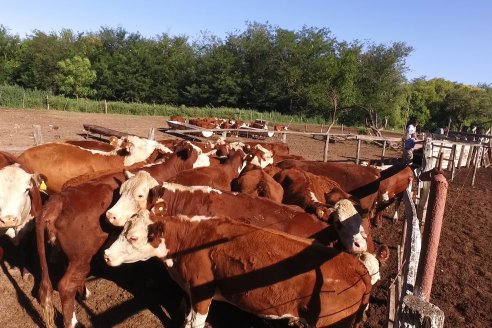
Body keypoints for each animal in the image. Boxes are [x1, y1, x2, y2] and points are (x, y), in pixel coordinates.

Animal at [104, 210, 372, 328]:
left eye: (134, 238)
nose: (106, 255)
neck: (192, 238)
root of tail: (356, 267)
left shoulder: (202, 293)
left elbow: (196, 323)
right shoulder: (191, 291)